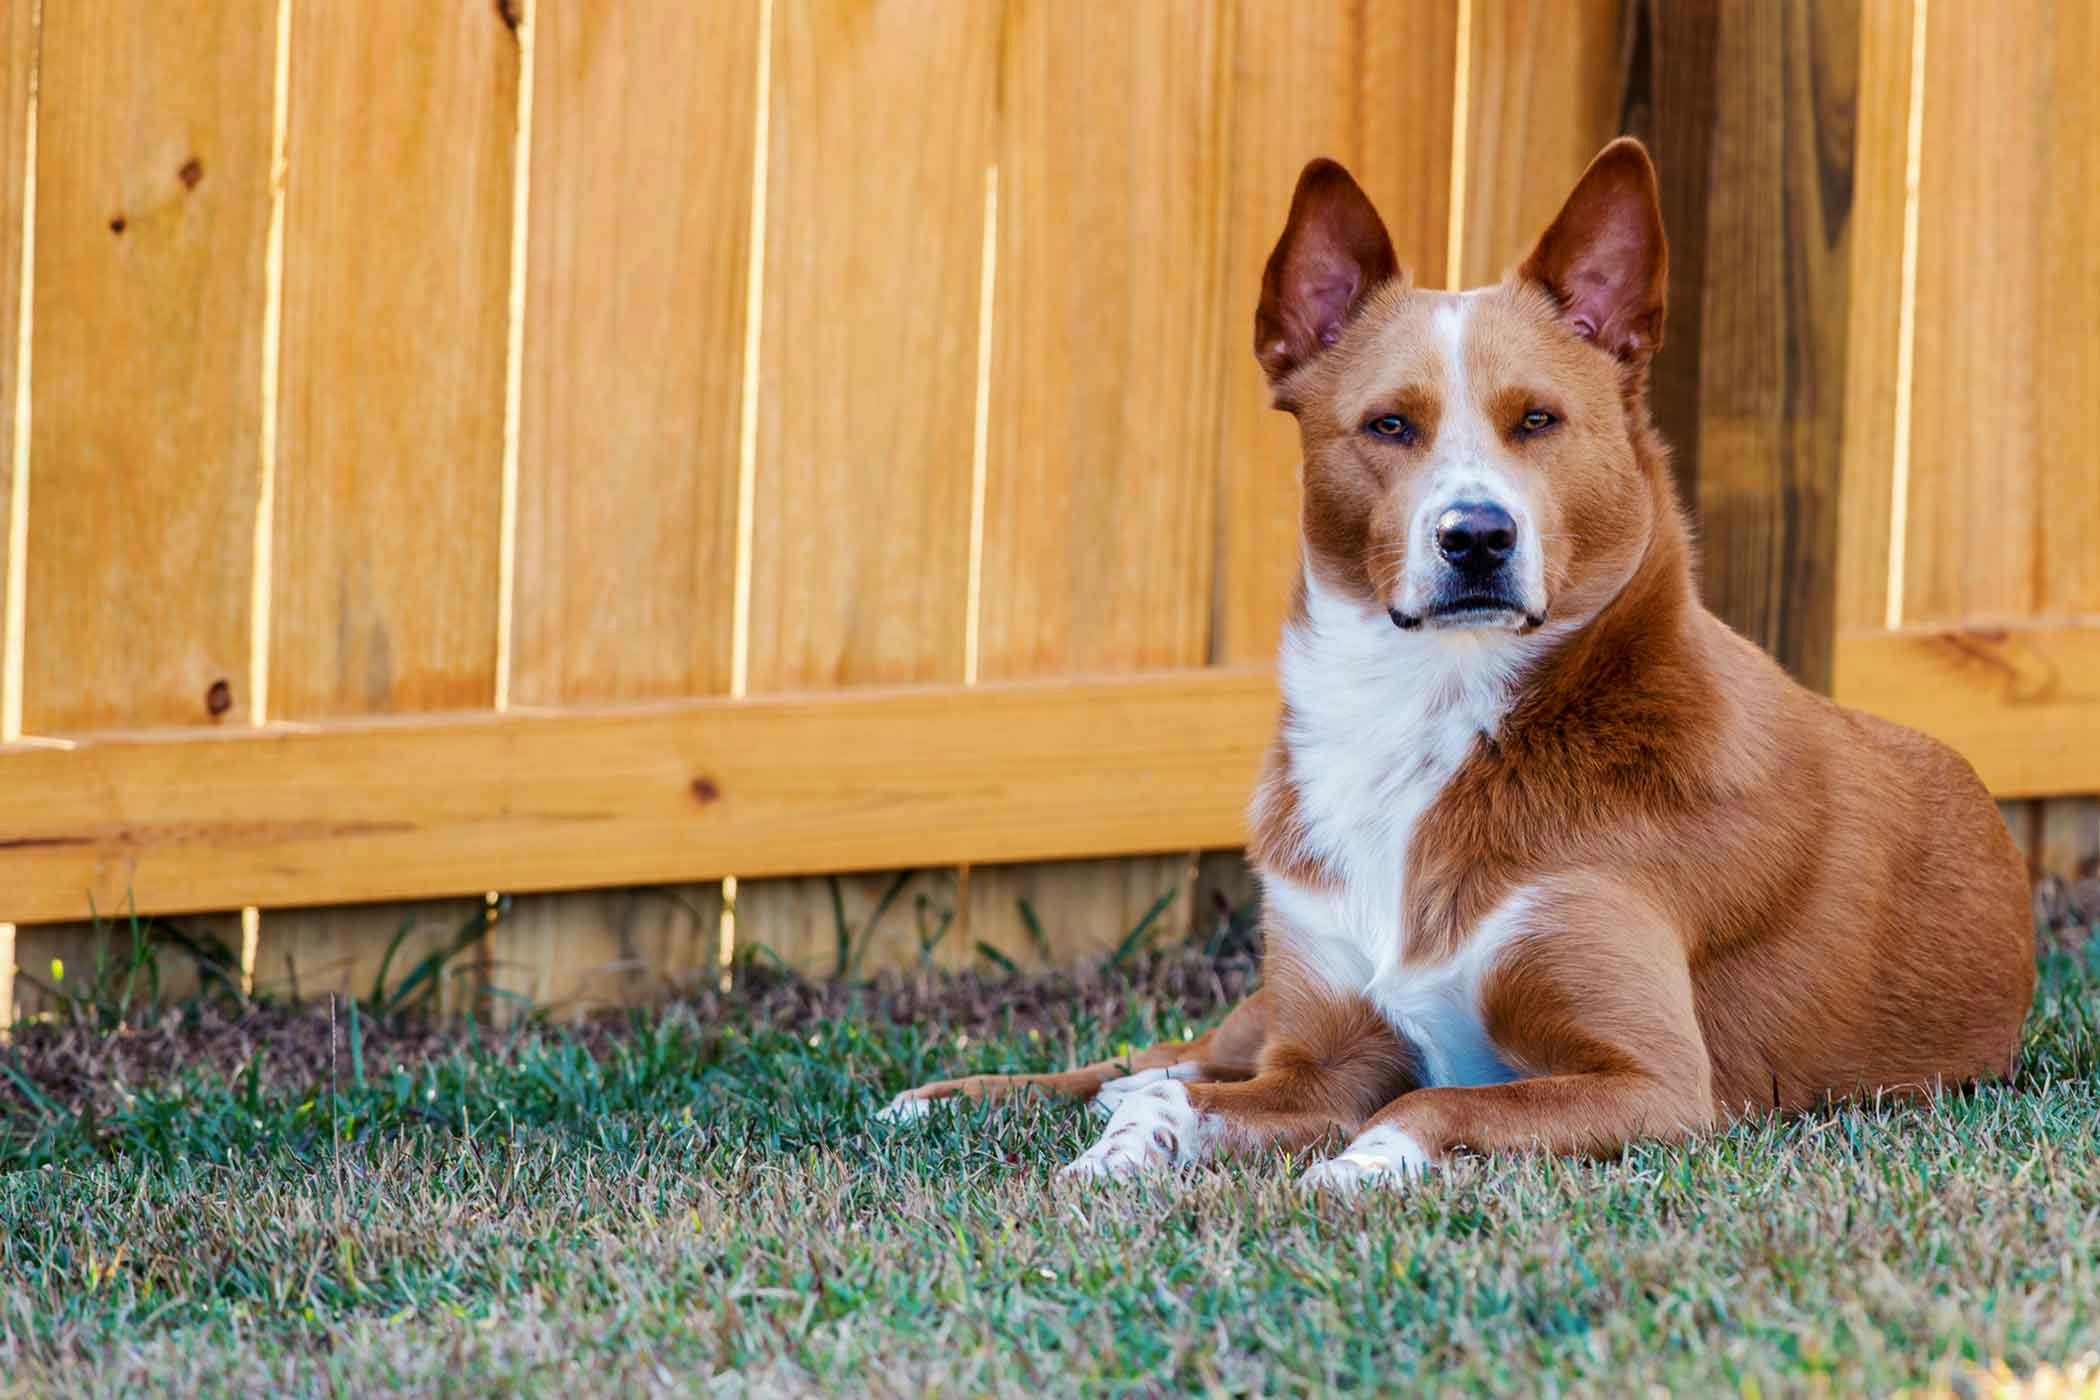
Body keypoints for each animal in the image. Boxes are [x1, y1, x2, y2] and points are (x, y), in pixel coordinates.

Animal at [881, 136, 2032, 1192]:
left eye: (1539, 420)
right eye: (1391, 424)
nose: (1476, 536)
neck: (1429, 713)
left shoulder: (1656, 1082)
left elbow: (1433, 1097)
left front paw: (1354, 1167)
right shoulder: (1326, 1048)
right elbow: (1192, 1096)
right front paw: (1123, 1151)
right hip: (1258, 1007)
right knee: (1164, 1053)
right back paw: (950, 1097)